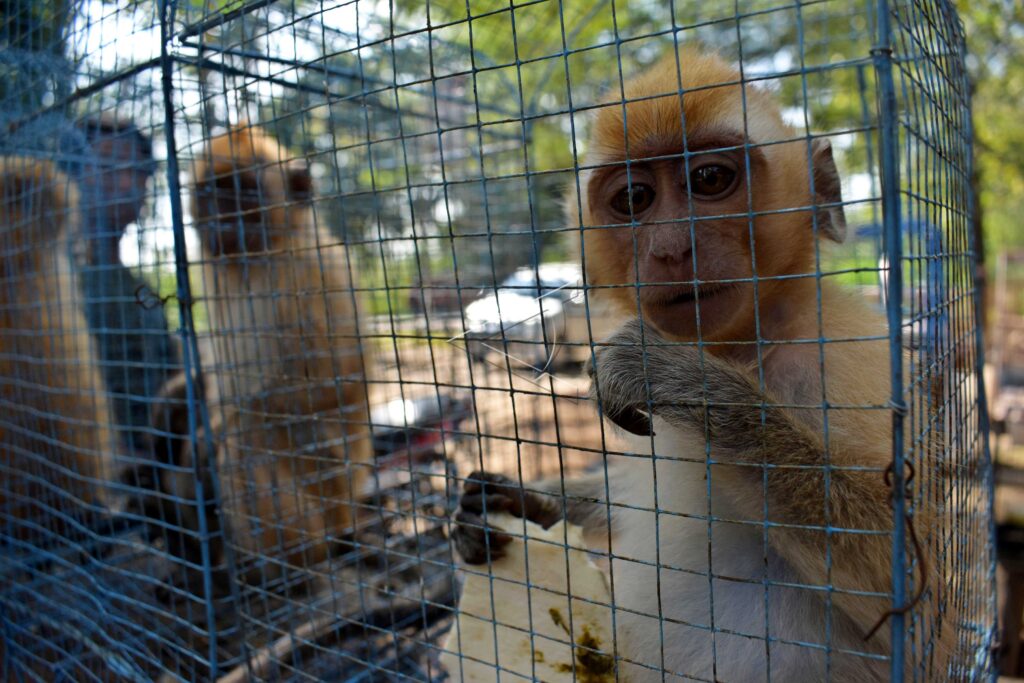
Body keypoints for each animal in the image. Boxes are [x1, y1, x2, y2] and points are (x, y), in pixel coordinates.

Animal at [183, 125, 373, 578]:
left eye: (244, 193)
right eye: (212, 192)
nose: (224, 220)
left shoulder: (297, 276)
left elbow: (328, 386)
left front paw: (210, 434)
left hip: (329, 491)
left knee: (250, 439)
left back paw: (293, 565)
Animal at [452, 47, 957, 682]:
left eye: (710, 180)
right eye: (634, 199)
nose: (671, 247)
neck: (745, 344)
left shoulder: (846, 361)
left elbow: (914, 600)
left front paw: (681, 380)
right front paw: (522, 502)